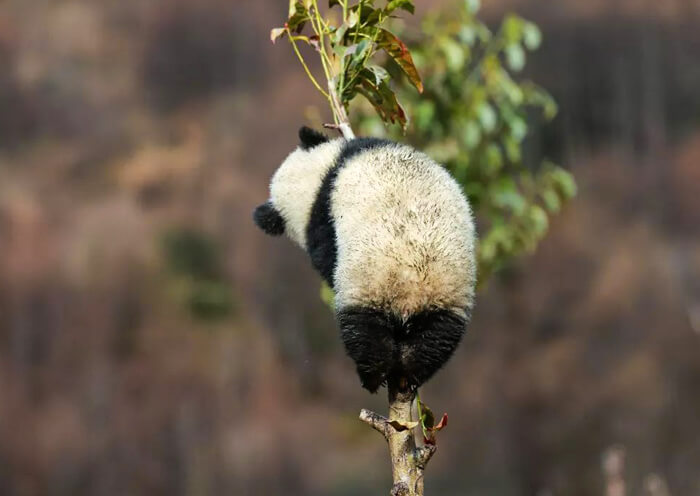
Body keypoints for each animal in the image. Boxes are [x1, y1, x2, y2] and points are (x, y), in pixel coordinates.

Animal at [254, 126, 477, 393]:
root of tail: (410, 291)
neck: (317, 183)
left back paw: (372, 377)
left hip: (370, 288)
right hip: (445, 295)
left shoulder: (324, 223)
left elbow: (326, 257)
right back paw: (411, 374)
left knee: (366, 337)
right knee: (434, 341)